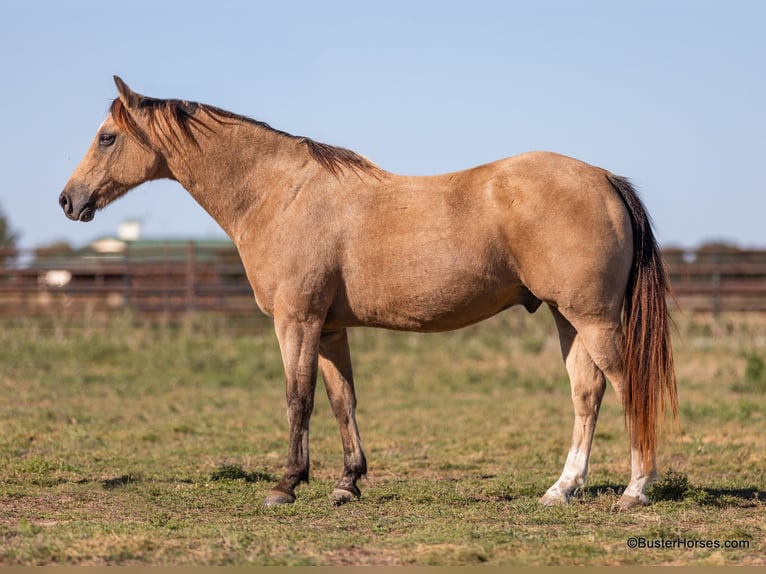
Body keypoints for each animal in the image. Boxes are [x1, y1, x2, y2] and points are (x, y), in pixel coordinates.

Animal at [58, 75, 680, 508]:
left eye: (107, 138)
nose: (68, 199)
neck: (279, 193)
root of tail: (602, 177)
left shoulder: (297, 322)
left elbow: (298, 399)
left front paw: (285, 485)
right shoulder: (330, 328)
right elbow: (342, 401)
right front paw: (347, 484)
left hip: (593, 318)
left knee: (627, 387)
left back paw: (635, 490)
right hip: (566, 317)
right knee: (586, 394)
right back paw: (562, 489)